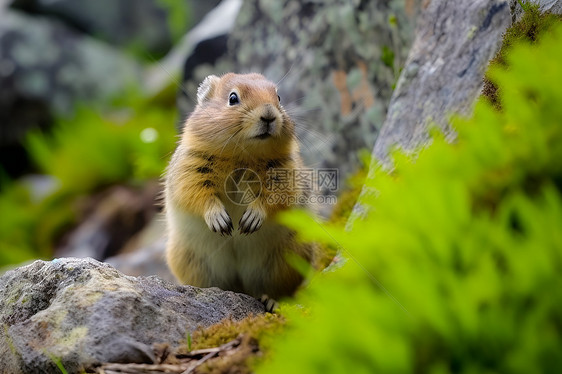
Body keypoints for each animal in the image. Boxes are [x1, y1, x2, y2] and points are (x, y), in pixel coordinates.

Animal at [164, 73, 318, 304]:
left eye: (278, 97)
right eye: (233, 98)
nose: (269, 114)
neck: (241, 155)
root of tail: (243, 288)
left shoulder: (284, 174)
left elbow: (274, 198)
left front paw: (250, 220)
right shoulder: (191, 170)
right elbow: (198, 195)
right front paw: (220, 221)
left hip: (290, 256)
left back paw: (270, 301)